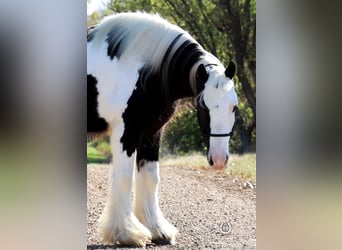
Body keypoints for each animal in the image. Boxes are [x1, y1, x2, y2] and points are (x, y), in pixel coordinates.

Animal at [87, 12, 238, 247]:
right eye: (203, 105)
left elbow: (151, 177)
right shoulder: (126, 131)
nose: (220, 160)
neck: (143, 69)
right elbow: (124, 177)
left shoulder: (152, 133)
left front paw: (157, 228)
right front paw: (128, 232)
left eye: (234, 106)